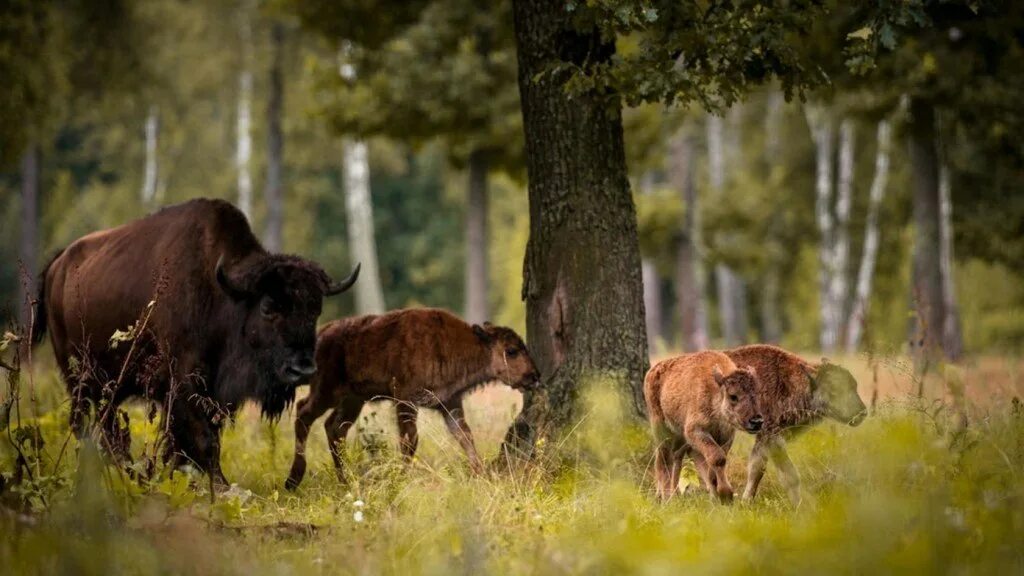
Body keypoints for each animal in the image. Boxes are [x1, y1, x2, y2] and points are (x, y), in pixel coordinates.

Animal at [36, 198, 358, 483]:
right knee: (85, 424)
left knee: (108, 427)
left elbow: (194, 441)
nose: (302, 369)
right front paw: (220, 486)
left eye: (315, 309)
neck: (222, 294)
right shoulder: (182, 383)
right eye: (268, 306)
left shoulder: (211, 393)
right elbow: (202, 440)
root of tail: (58, 264)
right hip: (79, 377)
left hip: (109, 386)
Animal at [284, 307, 540, 485]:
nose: (534, 376)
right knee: (304, 412)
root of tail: (323, 332)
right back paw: (294, 479)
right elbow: (410, 441)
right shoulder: (406, 401)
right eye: (511, 351)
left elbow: (465, 437)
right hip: (327, 391)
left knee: (334, 428)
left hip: (353, 399)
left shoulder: (450, 404)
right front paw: (402, 477)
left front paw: (481, 474)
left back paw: (344, 480)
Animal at [643, 348, 765, 500]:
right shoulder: (695, 431)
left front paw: (720, 496)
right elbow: (718, 458)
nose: (757, 421)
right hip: (660, 427)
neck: (715, 391)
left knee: (677, 456)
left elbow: (714, 467)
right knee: (663, 459)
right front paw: (725, 494)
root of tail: (652, 371)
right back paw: (666, 498)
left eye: (758, 394)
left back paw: (672, 494)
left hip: (680, 436)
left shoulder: (726, 437)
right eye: (733, 396)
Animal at [724, 344, 868, 502]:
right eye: (834, 388)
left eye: (854, 385)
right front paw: (799, 504)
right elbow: (790, 476)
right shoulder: (772, 437)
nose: (862, 413)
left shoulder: (764, 439)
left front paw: (746, 501)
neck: (789, 381)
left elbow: (756, 469)